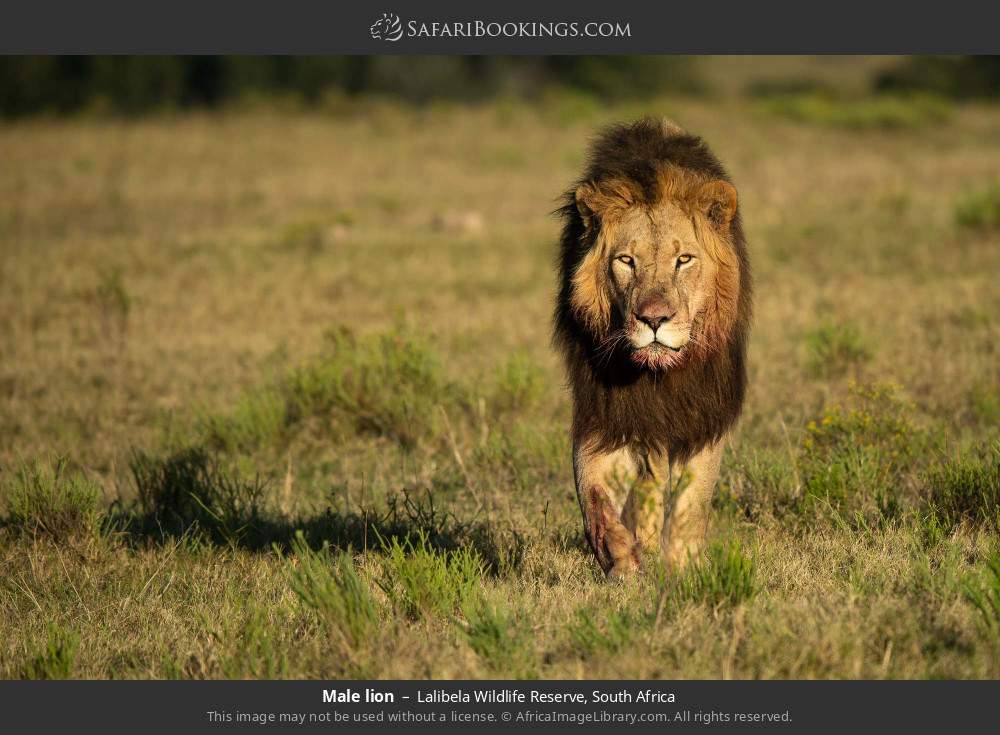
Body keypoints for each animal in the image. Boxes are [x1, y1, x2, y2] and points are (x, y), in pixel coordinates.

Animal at [553, 118, 751, 580]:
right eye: (626, 261)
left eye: (684, 260)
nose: (654, 319)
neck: (657, 375)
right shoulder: (605, 412)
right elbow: (593, 491)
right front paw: (621, 559)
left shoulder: (702, 416)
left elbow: (691, 502)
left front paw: (682, 566)